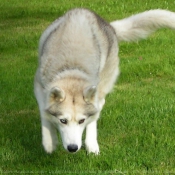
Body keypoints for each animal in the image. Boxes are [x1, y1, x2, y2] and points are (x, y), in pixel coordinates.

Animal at [34, 8, 175, 154]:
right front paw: (49, 141)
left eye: (81, 121)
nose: (73, 148)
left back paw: (91, 144)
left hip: (103, 83)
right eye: (63, 121)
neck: (71, 70)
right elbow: (44, 112)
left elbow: (92, 118)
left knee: (98, 108)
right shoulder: (39, 85)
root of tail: (109, 26)